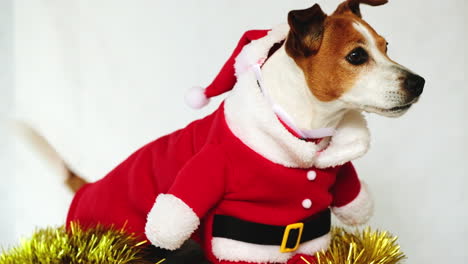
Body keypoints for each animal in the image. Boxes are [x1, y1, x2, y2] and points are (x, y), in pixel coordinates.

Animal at [22, 1, 424, 262]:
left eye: (387, 47)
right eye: (357, 56)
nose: (419, 82)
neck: (302, 139)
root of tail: (87, 189)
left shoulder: (312, 235)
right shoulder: (239, 236)